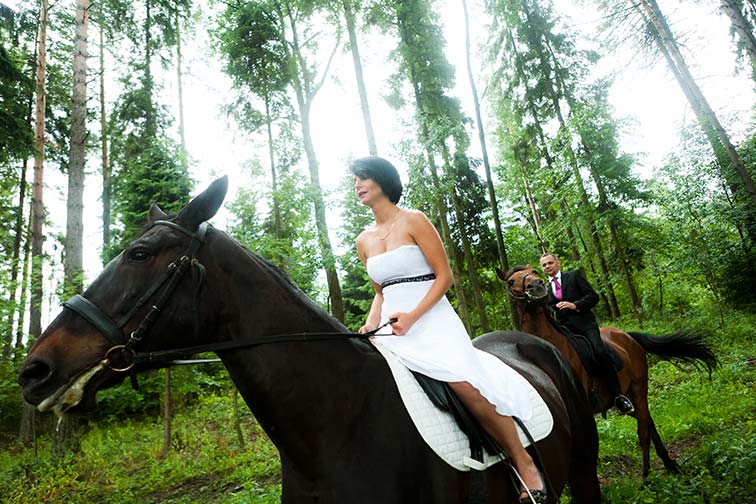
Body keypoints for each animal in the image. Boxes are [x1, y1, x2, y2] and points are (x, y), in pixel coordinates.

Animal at [500, 266, 716, 478]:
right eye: (511, 282)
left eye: (535, 271)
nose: (537, 285)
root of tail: (627, 335)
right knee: (648, 420)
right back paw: (669, 464)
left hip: (638, 387)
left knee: (643, 427)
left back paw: (647, 477)